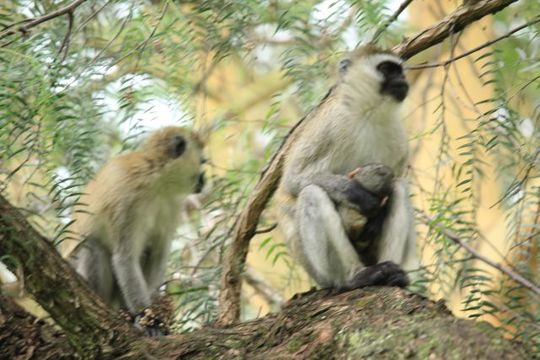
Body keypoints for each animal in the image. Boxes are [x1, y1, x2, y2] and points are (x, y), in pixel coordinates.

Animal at [276, 45, 420, 292]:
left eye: (400, 71)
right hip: (319, 273)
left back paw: (392, 274)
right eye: (387, 69)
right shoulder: (330, 124)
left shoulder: (399, 139)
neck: (369, 113)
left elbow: (396, 180)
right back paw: (355, 277)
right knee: (311, 193)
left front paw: (377, 216)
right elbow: (293, 181)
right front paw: (358, 195)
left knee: (399, 187)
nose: (402, 79)